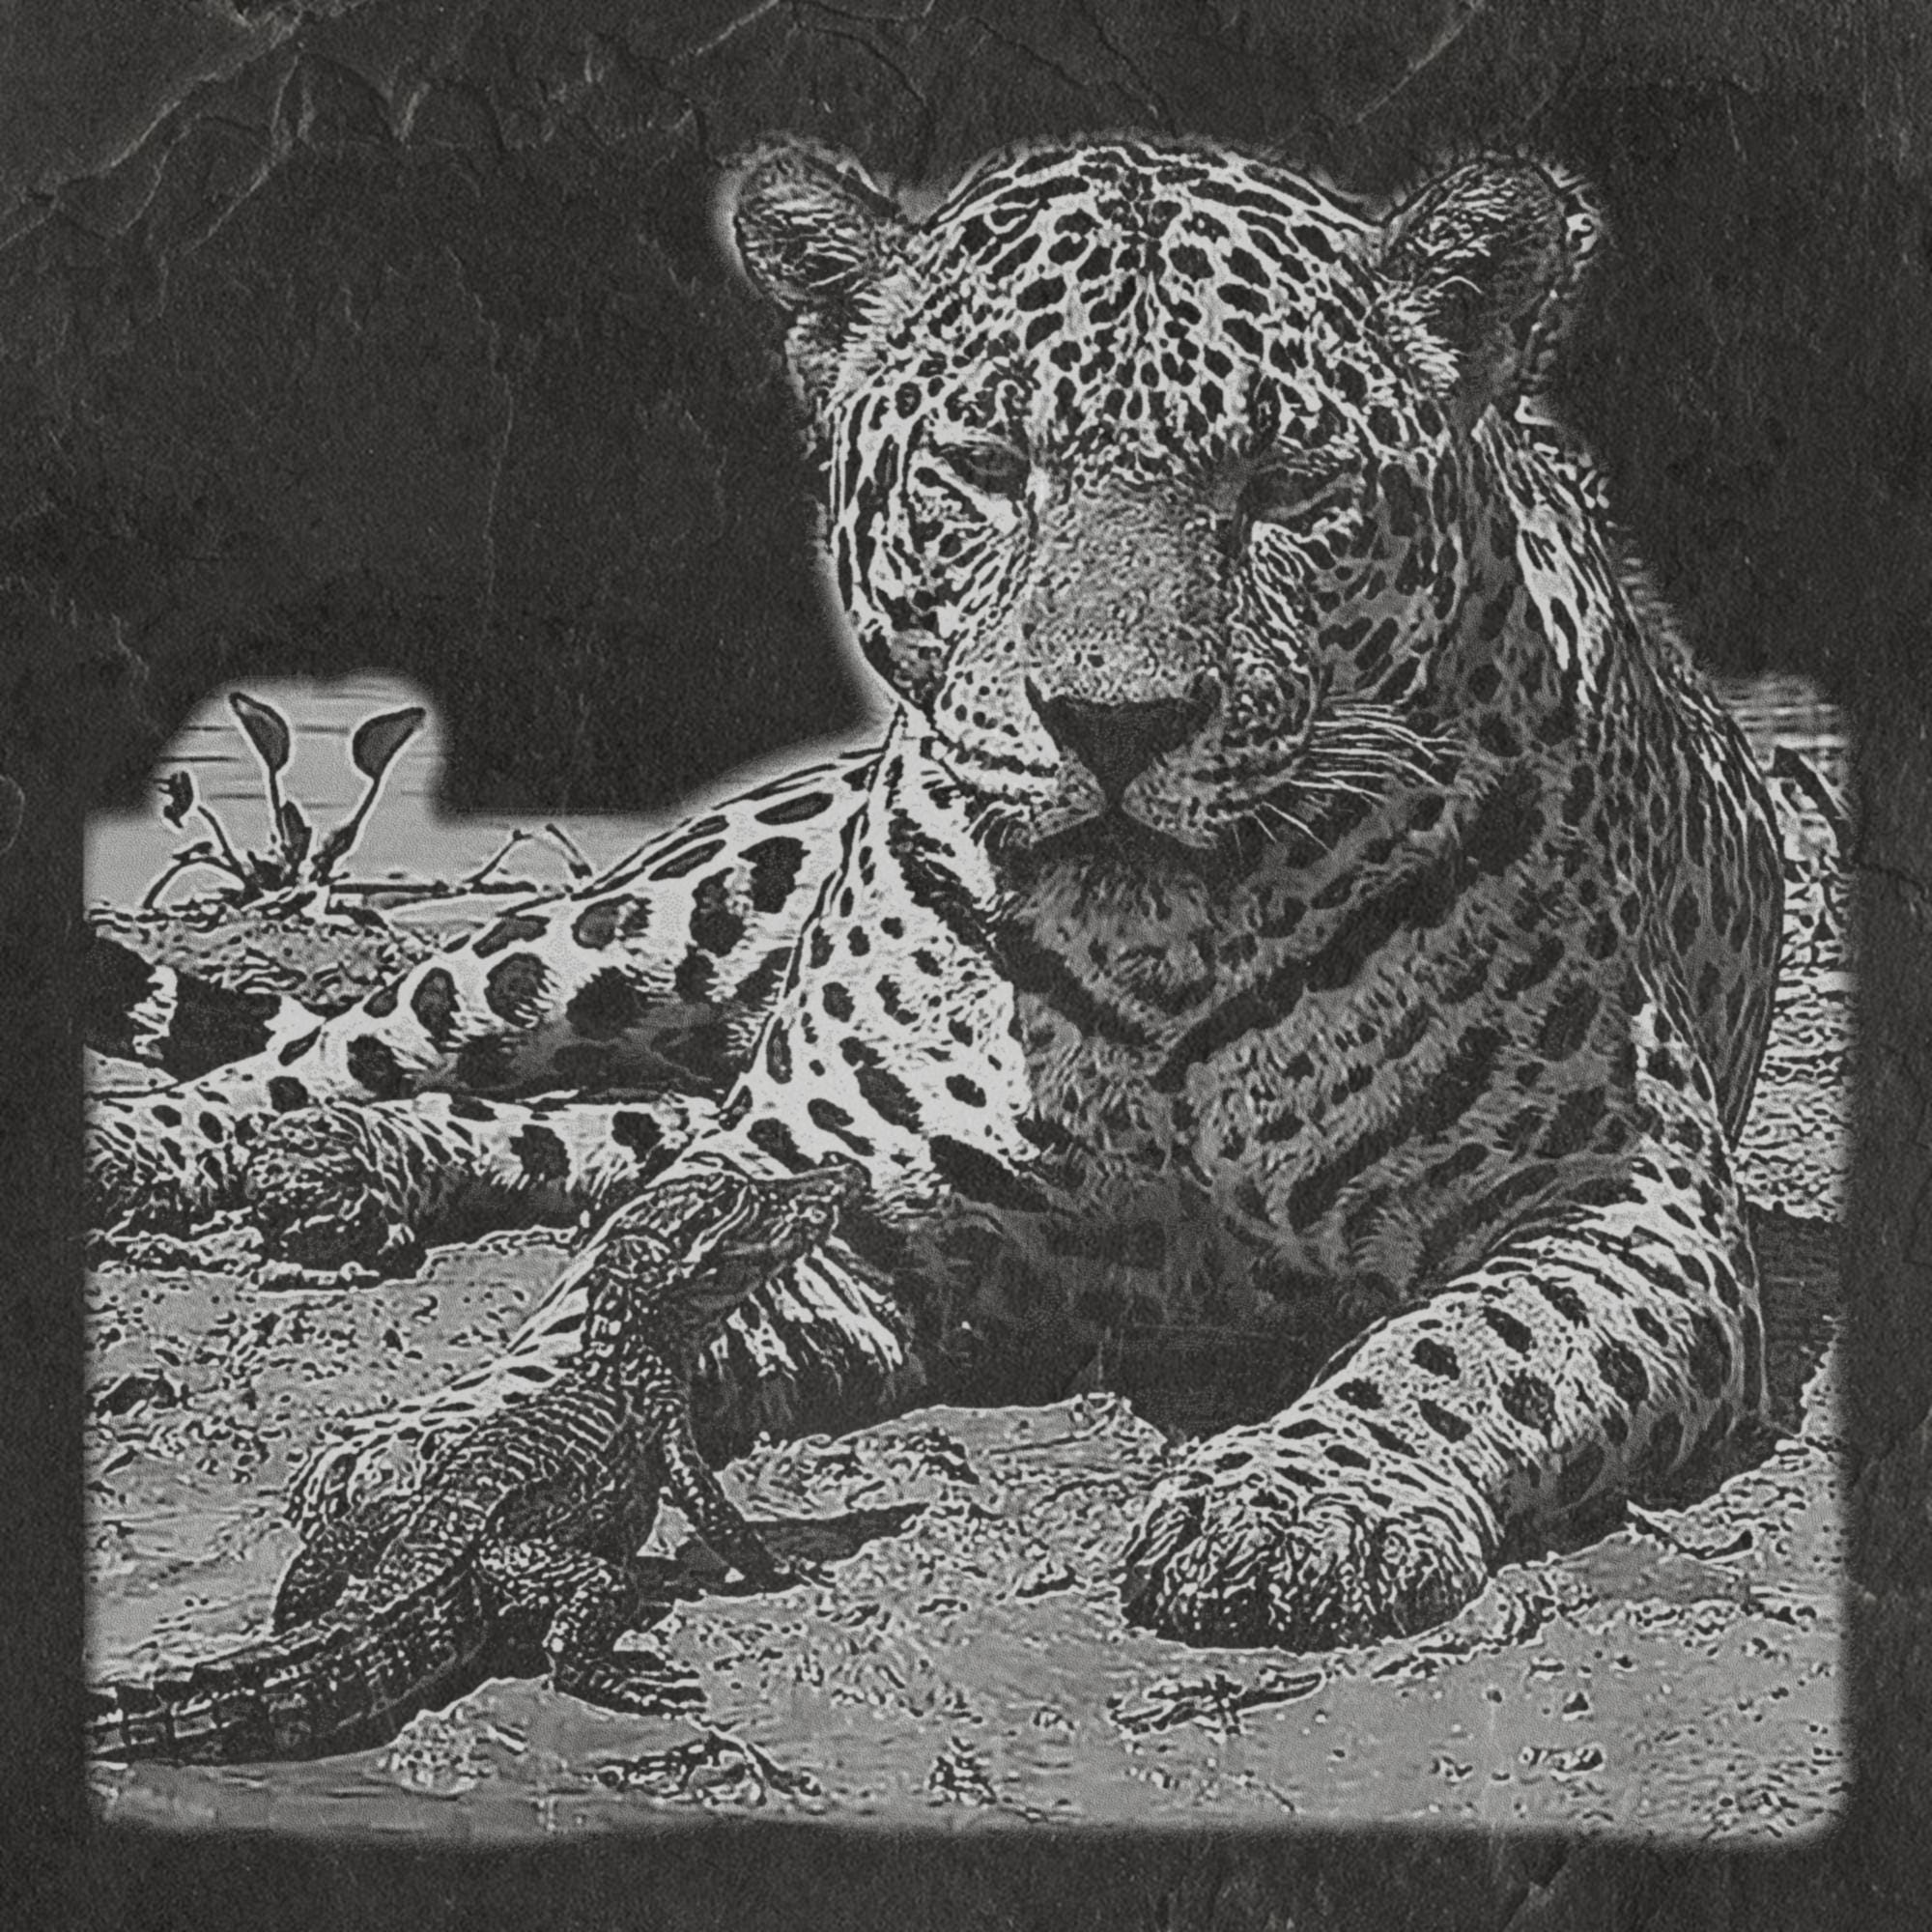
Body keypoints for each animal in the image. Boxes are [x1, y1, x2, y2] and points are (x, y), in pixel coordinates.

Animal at [86, 134, 1789, 1652]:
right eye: (989, 471)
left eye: (1288, 485)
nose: (1118, 722)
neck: (1158, 947)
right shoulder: (821, 1187)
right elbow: (603, 1303)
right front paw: (463, 1445)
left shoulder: (1621, 1202)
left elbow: (1462, 1346)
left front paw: (1300, 1500)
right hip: (666, 915)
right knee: (367, 1039)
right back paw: (185, 1145)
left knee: (607, 1126)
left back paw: (349, 1166)